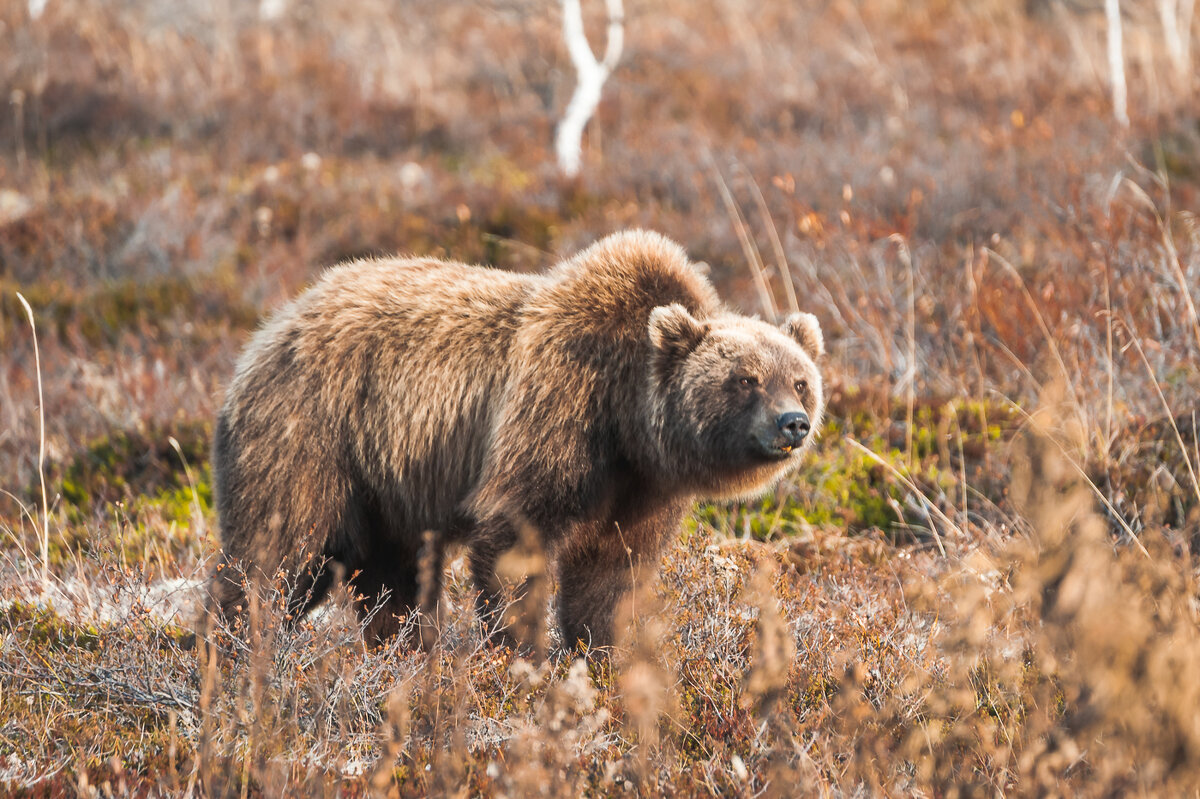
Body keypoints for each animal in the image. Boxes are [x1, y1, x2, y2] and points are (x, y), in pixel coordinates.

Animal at [208, 229, 825, 647]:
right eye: (745, 379)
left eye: (799, 380)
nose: (793, 422)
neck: (627, 420)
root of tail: (270, 329)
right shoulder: (556, 409)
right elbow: (515, 538)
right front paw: (523, 656)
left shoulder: (639, 490)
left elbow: (611, 576)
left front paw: (604, 653)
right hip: (311, 434)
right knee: (274, 552)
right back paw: (239, 647)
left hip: (386, 486)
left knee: (393, 581)